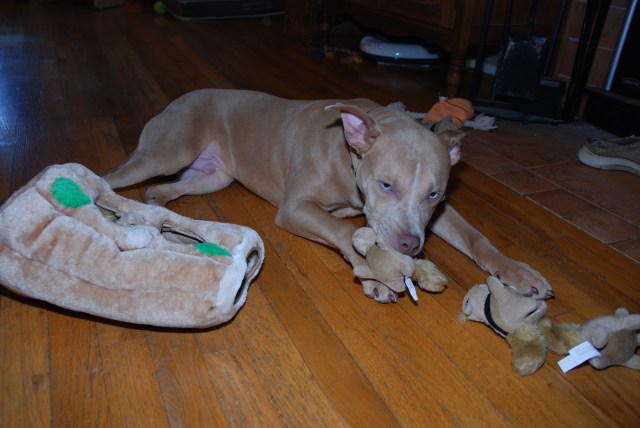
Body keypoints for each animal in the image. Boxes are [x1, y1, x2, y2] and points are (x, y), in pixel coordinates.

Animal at [103, 89, 553, 303]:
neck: (348, 154)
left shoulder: (442, 214)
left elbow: (477, 239)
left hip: (213, 177)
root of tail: (181, 97)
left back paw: (160, 217)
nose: (410, 244)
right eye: (386, 184)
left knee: (161, 189)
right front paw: (372, 273)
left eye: (434, 194)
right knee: (114, 178)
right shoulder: (295, 208)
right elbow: (341, 230)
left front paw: (519, 274)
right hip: (167, 151)